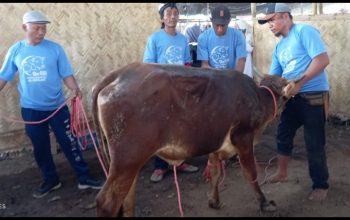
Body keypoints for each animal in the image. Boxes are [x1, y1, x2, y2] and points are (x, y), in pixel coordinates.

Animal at [91, 62, 292, 217]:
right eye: (284, 97)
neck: (258, 98)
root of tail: (120, 74)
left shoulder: (215, 144)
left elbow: (215, 173)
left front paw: (214, 201)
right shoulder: (243, 137)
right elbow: (250, 173)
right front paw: (264, 203)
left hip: (128, 164)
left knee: (127, 199)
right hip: (128, 159)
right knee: (107, 202)